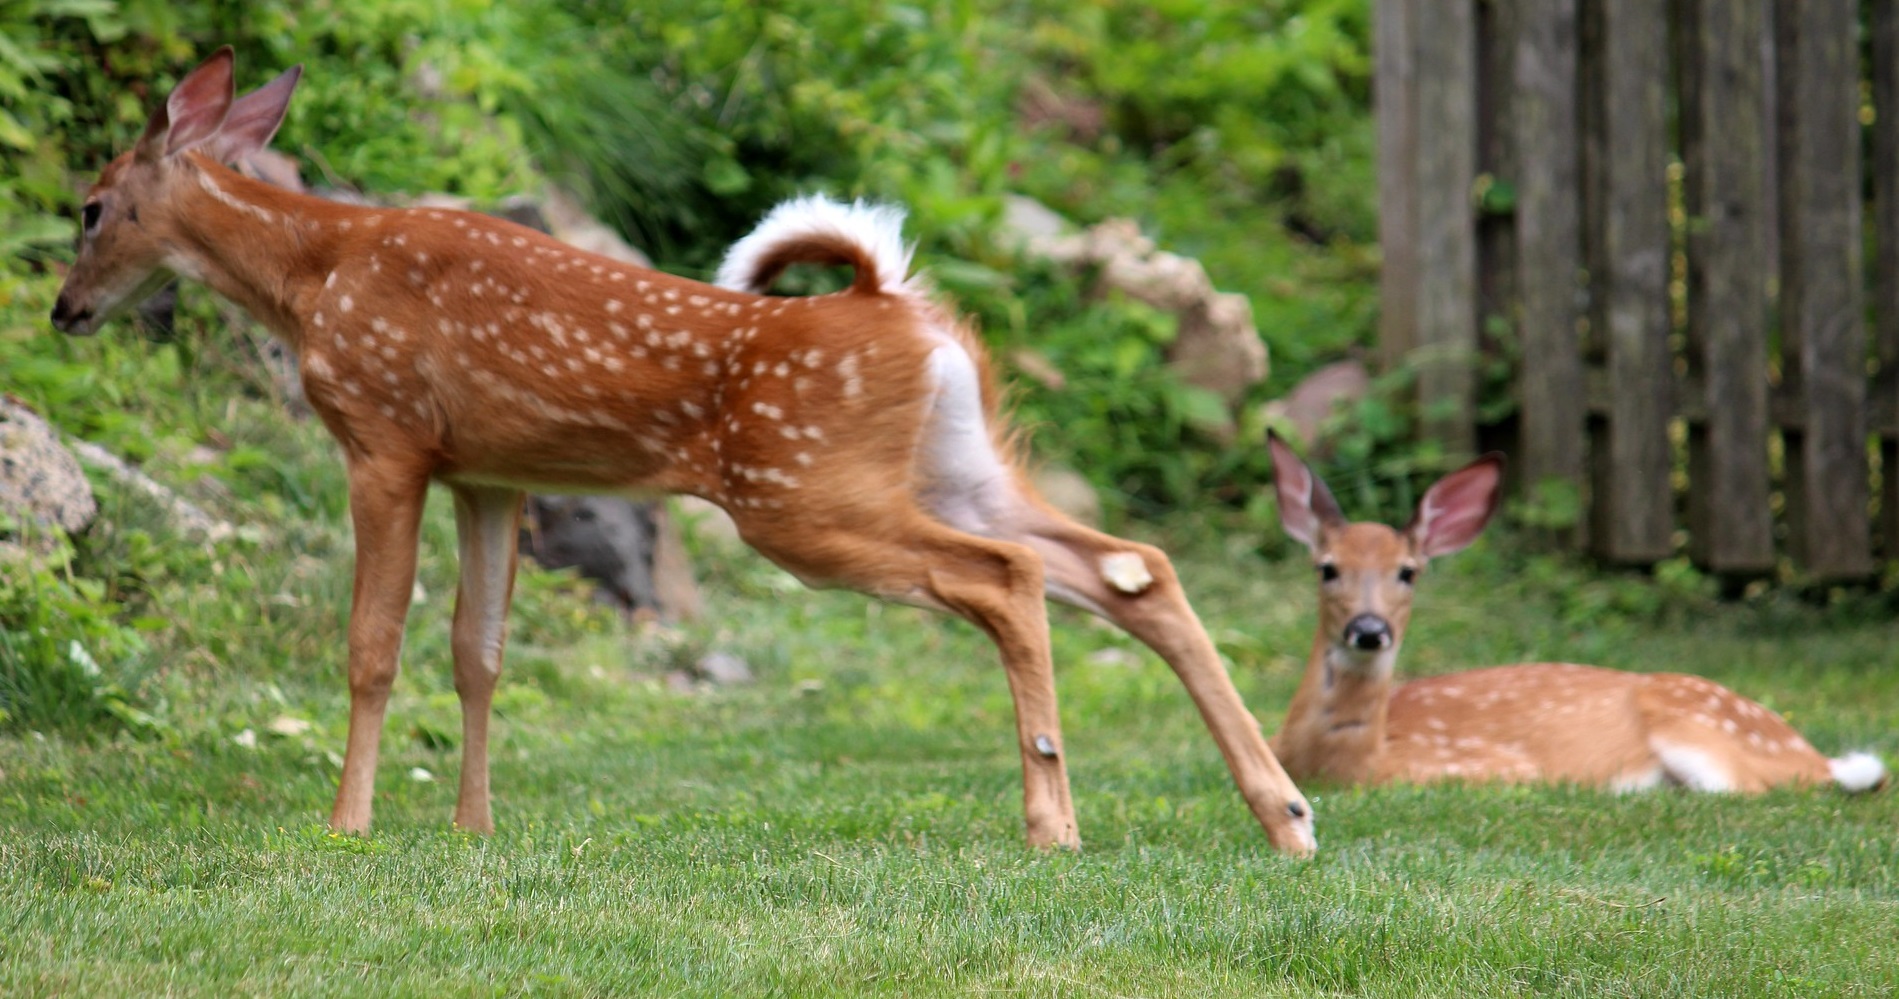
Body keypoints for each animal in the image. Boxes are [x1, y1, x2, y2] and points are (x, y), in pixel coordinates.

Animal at [48, 48, 1317, 855]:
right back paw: (1287, 817)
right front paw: (471, 830)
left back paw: (1055, 828)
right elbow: (477, 653)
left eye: (91, 207)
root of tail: (896, 304)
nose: (64, 309)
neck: (313, 278)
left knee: (1007, 579)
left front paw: (348, 827)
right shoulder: (491, 473)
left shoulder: (385, 438)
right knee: (1130, 566)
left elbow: (372, 647)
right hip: (952, 463)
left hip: (800, 495)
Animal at [1264, 432, 1889, 795]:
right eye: (1327, 568)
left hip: (1709, 738)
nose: (1369, 629)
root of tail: (1809, 749)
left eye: (1408, 572)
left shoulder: (1491, 769)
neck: (1342, 763)